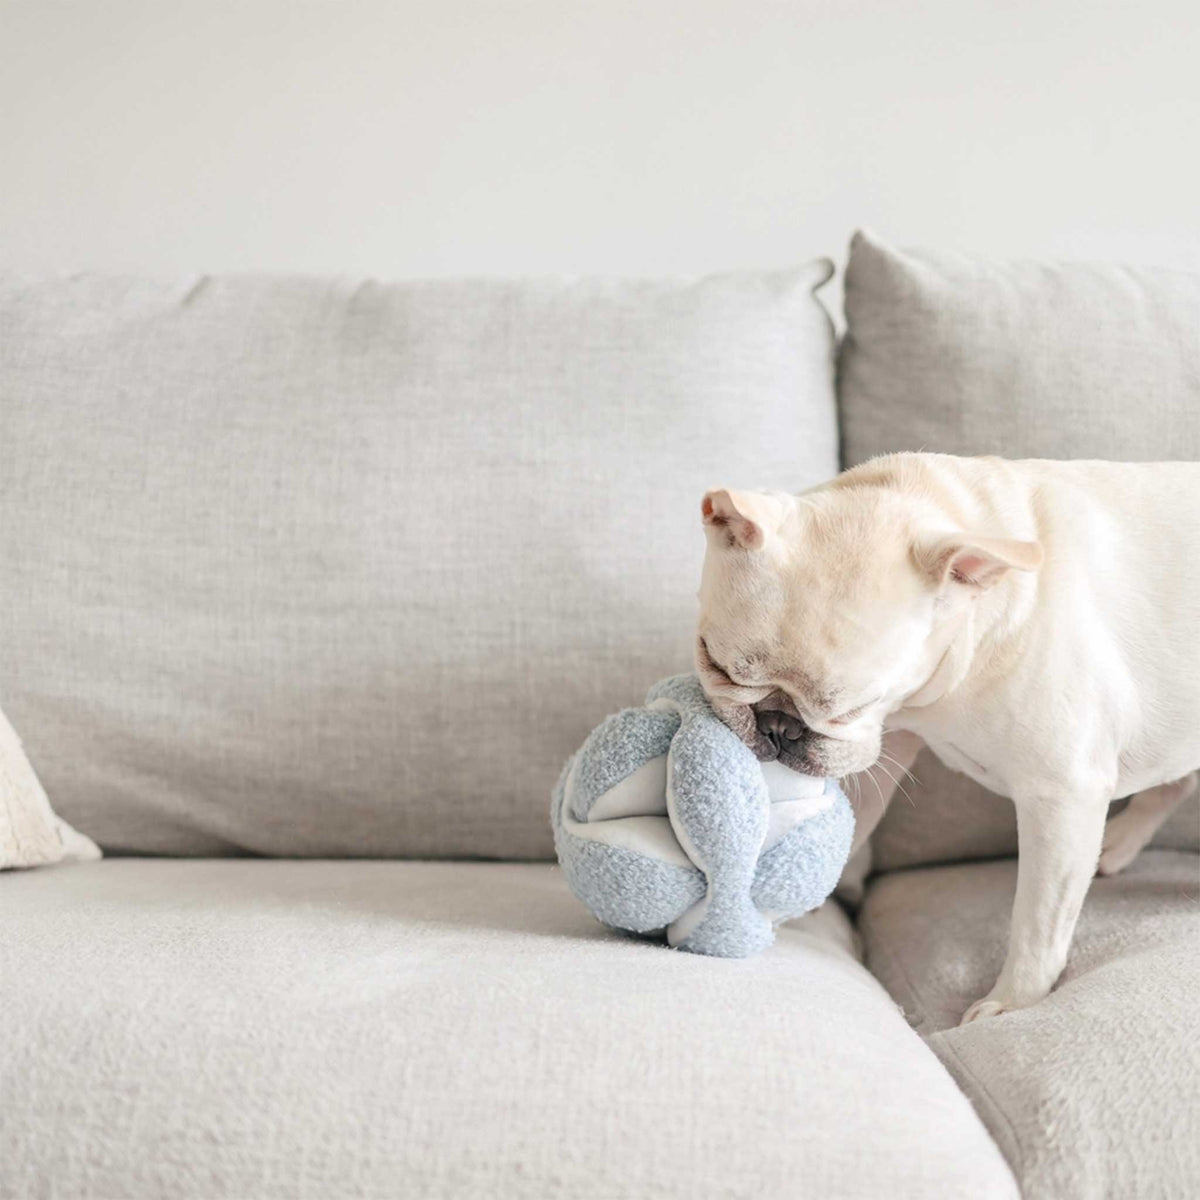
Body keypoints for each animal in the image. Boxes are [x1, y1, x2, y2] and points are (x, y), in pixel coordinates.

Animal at [700, 451, 1195, 1022]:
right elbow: (850, 823)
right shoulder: (885, 741)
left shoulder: (1061, 797)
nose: (778, 725)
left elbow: (1039, 921)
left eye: (852, 706)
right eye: (715, 664)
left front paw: (1014, 1001)